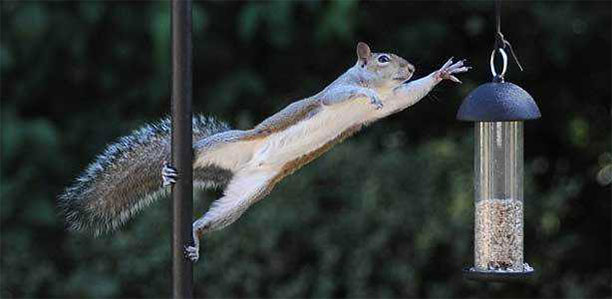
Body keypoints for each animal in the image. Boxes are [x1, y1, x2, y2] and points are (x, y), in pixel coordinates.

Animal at [58, 42, 468, 262]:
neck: (379, 87)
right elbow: (345, 94)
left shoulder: (396, 100)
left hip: (246, 195)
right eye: (382, 58)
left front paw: (440, 73)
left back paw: (196, 237)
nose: (411, 66)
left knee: (212, 219)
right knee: (193, 153)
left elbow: (409, 96)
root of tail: (240, 167)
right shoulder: (336, 90)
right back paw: (168, 171)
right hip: (225, 144)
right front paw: (367, 94)